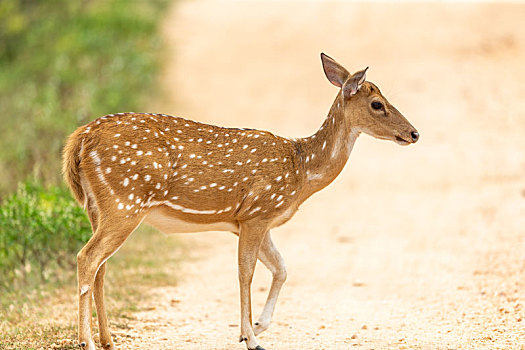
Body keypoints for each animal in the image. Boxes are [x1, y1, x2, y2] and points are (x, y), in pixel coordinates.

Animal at [63, 52, 420, 350]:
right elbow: (246, 272)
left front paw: (259, 326)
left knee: (100, 267)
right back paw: (87, 341)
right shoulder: (257, 212)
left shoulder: (252, 221)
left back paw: (108, 340)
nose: (414, 133)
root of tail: (79, 139)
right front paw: (250, 337)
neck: (301, 170)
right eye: (377, 103)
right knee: (87, 258)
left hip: (98, 207)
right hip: (125, 201)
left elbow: (281, 268)